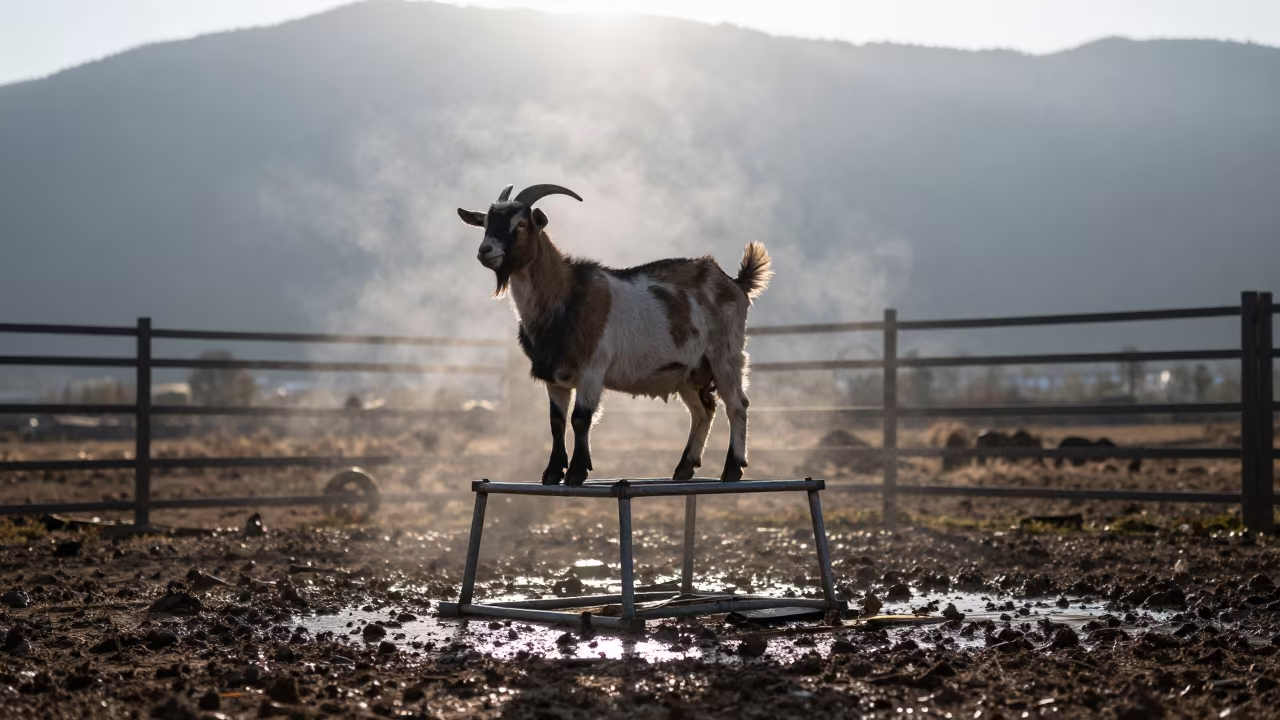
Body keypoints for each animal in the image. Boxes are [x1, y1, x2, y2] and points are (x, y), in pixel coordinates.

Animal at [458, 183, 772, 486]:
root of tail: (734, 283)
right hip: (687, 372)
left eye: (521, 224)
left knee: (737, 405)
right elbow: (556, 422)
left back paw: (732, 469)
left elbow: (580, 419)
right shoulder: (555, 378)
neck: (567, 295)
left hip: (725, 355)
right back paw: (684, 468)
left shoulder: (592, 371)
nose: (485, 250)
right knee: (702, 410)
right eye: (485, 223)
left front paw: (576, 473)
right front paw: (551, 474)